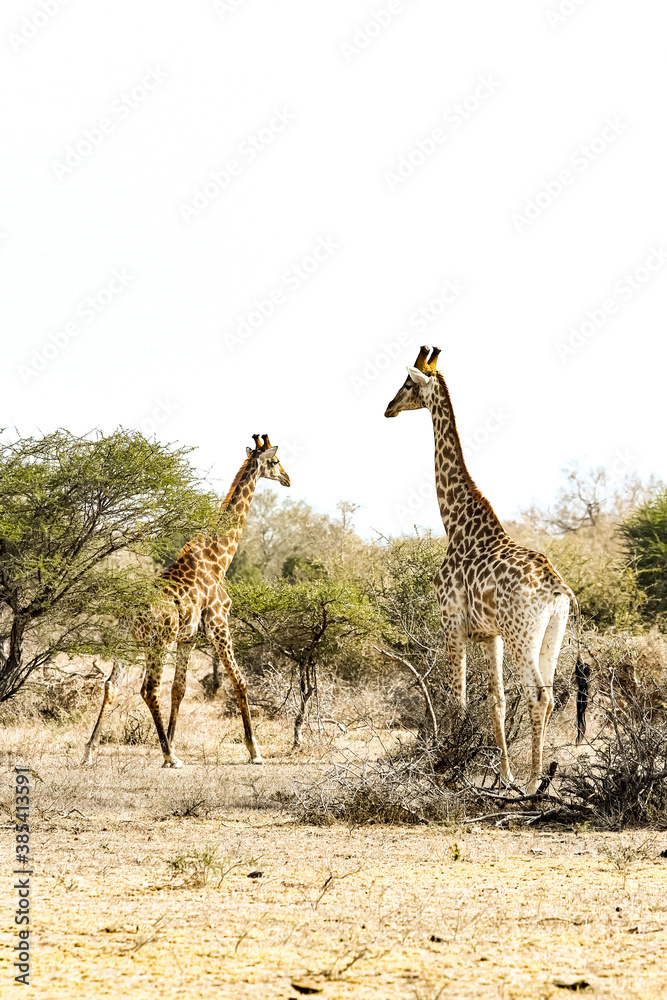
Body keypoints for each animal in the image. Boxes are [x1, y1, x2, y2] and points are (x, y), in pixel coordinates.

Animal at [82, 434, 290, 768]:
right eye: (275, 461)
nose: (288, 479)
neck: (219, 558)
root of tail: (130, 612)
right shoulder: (219, 624)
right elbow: (240, 681)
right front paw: (254, 751)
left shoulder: (188, 637)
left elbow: (179, 689)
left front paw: (172, 742)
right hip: (158, 640)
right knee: (148, 689)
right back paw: (170, 756)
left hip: (128, 643)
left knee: (112, 685)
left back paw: (91, 751)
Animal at [384, 346, 585, 793]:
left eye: (407, 383)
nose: (388, 408)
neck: (457, 525)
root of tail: (557, 590)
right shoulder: (489, 635)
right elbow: (496, 700)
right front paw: (503, 776)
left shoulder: (452, 623)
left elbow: (457, 700)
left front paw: (453, 769)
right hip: (551, 634)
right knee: (546, 695)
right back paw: (532, 780)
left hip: (522, 634)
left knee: (539, 694)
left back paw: (534, 784)